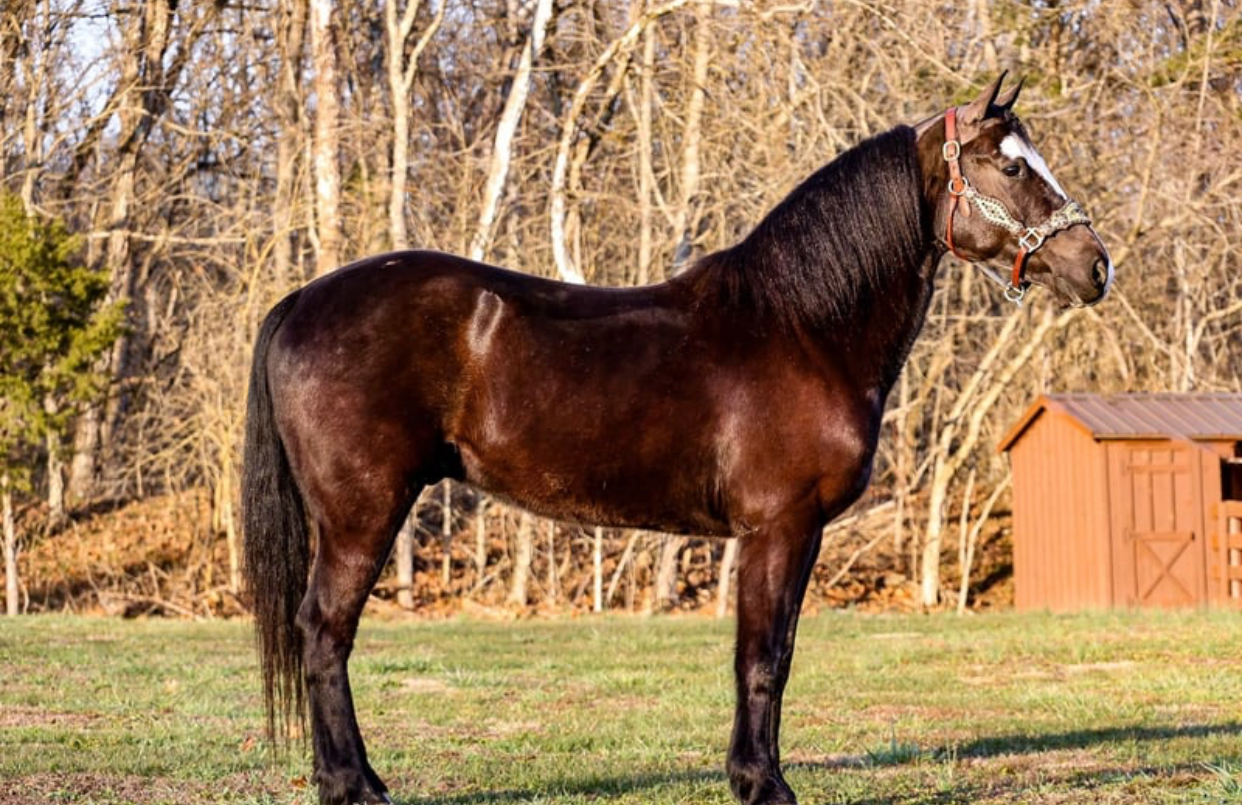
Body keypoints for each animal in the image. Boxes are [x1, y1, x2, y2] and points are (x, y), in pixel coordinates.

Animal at [242, 74, 1112, 805]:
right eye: (1010, 168)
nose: (1095, 265)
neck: (801, 328)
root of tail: (300, 301)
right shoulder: (777, 528)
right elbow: (762, 658)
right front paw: (764, 785)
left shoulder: (793, 535)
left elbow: (773, 655)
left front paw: (752, 775)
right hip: (362, 512)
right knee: (324, 633)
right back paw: (354, 785)